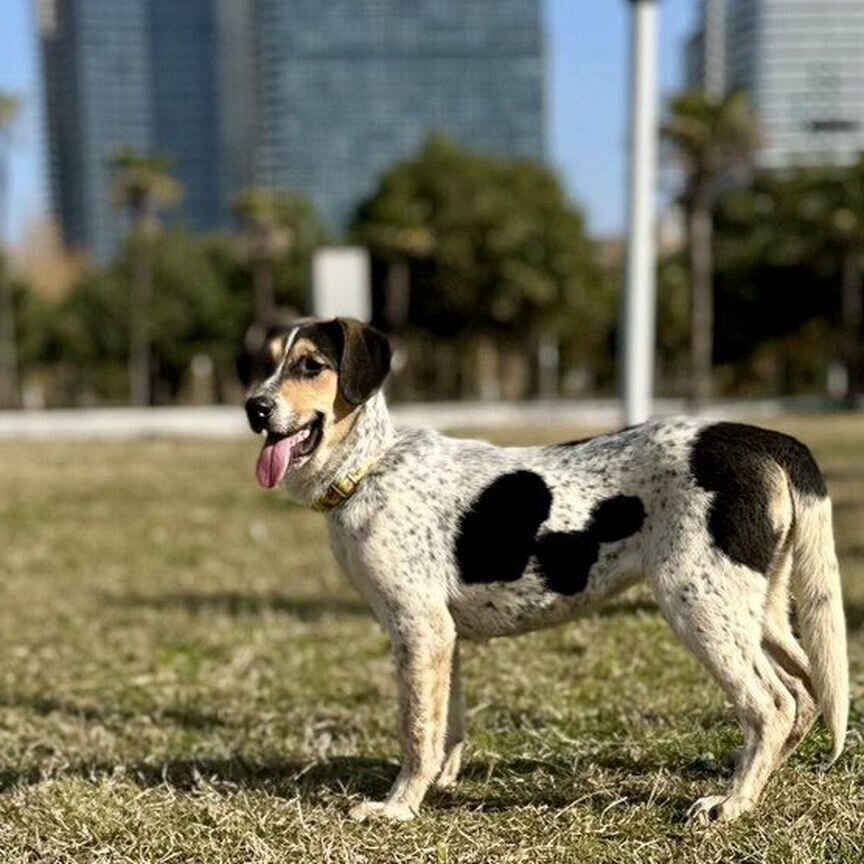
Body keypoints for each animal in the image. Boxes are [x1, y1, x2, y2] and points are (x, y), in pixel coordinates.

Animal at [243, 316, 852, 824]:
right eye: (262, 363)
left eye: (311, 366)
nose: (255, 409)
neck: (370, 467)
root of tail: (762, 439)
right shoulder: (442, 637)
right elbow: (446, 725)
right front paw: (438, 787)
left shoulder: (419, 630)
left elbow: (416, 733)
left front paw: (398, 808)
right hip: (756, 612)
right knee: (808, 693)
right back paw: (760, 783)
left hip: (700, 608)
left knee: (772, 706)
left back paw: (732, 803)